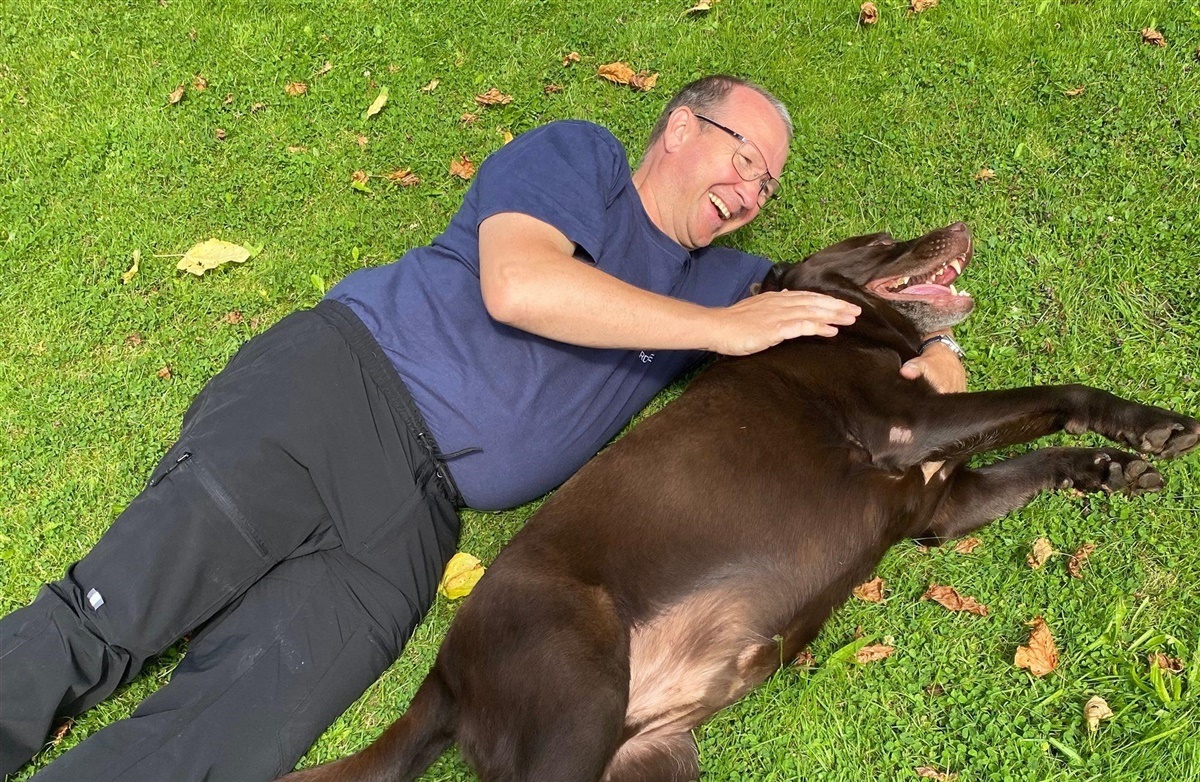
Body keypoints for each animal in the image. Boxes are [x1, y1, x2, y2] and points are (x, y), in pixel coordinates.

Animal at [280, 222, 1199, 781]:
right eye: (878, 243)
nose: (957, 229)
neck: (851, 328)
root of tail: (441, 672)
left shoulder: (942, 502)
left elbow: (1037, 454)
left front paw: (1114, 468)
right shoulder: (907, 425)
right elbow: (1056, 393)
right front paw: (1151, 425)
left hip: (647, 753)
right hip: (571, 695)